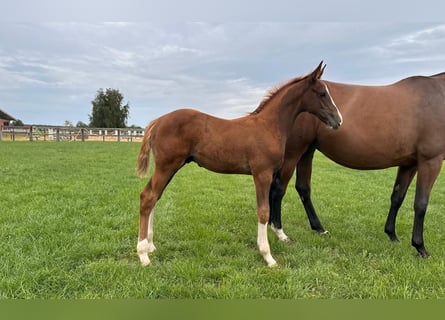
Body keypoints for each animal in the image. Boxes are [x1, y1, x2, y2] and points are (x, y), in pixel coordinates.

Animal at [137, 62, 342, 268]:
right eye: (322, 93)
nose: (338, 120)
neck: (269, 125)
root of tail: (158, 121)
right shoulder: (262, 174)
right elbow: (263, 211)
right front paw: (268, 256)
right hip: (167, 166)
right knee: (148, 197)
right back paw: (143, 255)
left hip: (170, 167)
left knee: (154, 196)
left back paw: (150, 246)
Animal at [268, 70, 444, 258]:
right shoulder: (431, 161)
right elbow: (421, 203)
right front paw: (420, 247)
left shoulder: (409, 164)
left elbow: (397, 197)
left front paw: (392, 235)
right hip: (293, 154)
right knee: (278, 188)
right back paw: (279, 232)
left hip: (307, 152)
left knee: (302, 188)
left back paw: (318, 228)